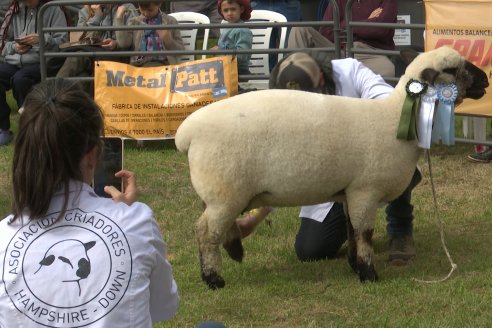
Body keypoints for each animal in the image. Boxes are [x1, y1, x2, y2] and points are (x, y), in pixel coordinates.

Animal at [174, 44, 488, 288]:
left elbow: (351, 230)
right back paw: (213, 278)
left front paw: (354, 264)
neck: (391, 118)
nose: (485, 79)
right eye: (452, 69)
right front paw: (368, 274)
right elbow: (364, 233)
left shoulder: (350, 192)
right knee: (205, 232)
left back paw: (233, 250)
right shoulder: (365, 190)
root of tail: (186, 133)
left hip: (222, 193)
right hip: (225, 191)